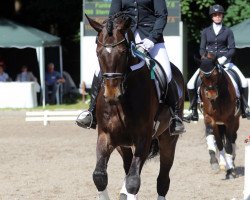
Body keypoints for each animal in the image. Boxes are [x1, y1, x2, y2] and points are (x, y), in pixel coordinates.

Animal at [86, 12, 186, 200]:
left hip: (168, 140)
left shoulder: (143, 138)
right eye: (97, 53)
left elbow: (133, 181)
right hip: (123, 145)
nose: (112, 95)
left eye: (123, 52)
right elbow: (99, 176)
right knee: (128, 168)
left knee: (162, 179)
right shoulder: (106, 136)